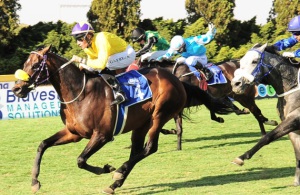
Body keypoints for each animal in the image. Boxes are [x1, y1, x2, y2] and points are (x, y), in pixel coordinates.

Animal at [11, 45, 213, 193]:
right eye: (25, 63)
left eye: (35, 66)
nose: (16, 89)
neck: (79, 93)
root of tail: (177, 80)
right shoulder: (73, 133)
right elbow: (43, 145)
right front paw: (35, 181)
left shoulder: (102, 135)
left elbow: (80, 160)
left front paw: (107, 169)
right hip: (141, 124)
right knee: (137, 150)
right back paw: (115, 183)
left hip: (159, 115)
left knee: (150, 148)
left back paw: (118, 173)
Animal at [231, 42, 300, 186]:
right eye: (241, 62)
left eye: (254, 61)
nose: (235, 84)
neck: (293, 87)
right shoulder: (293, 128)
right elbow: (297, 153)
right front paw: (297, 181)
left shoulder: (294, 119)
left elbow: (267, 137)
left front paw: (241, 158)